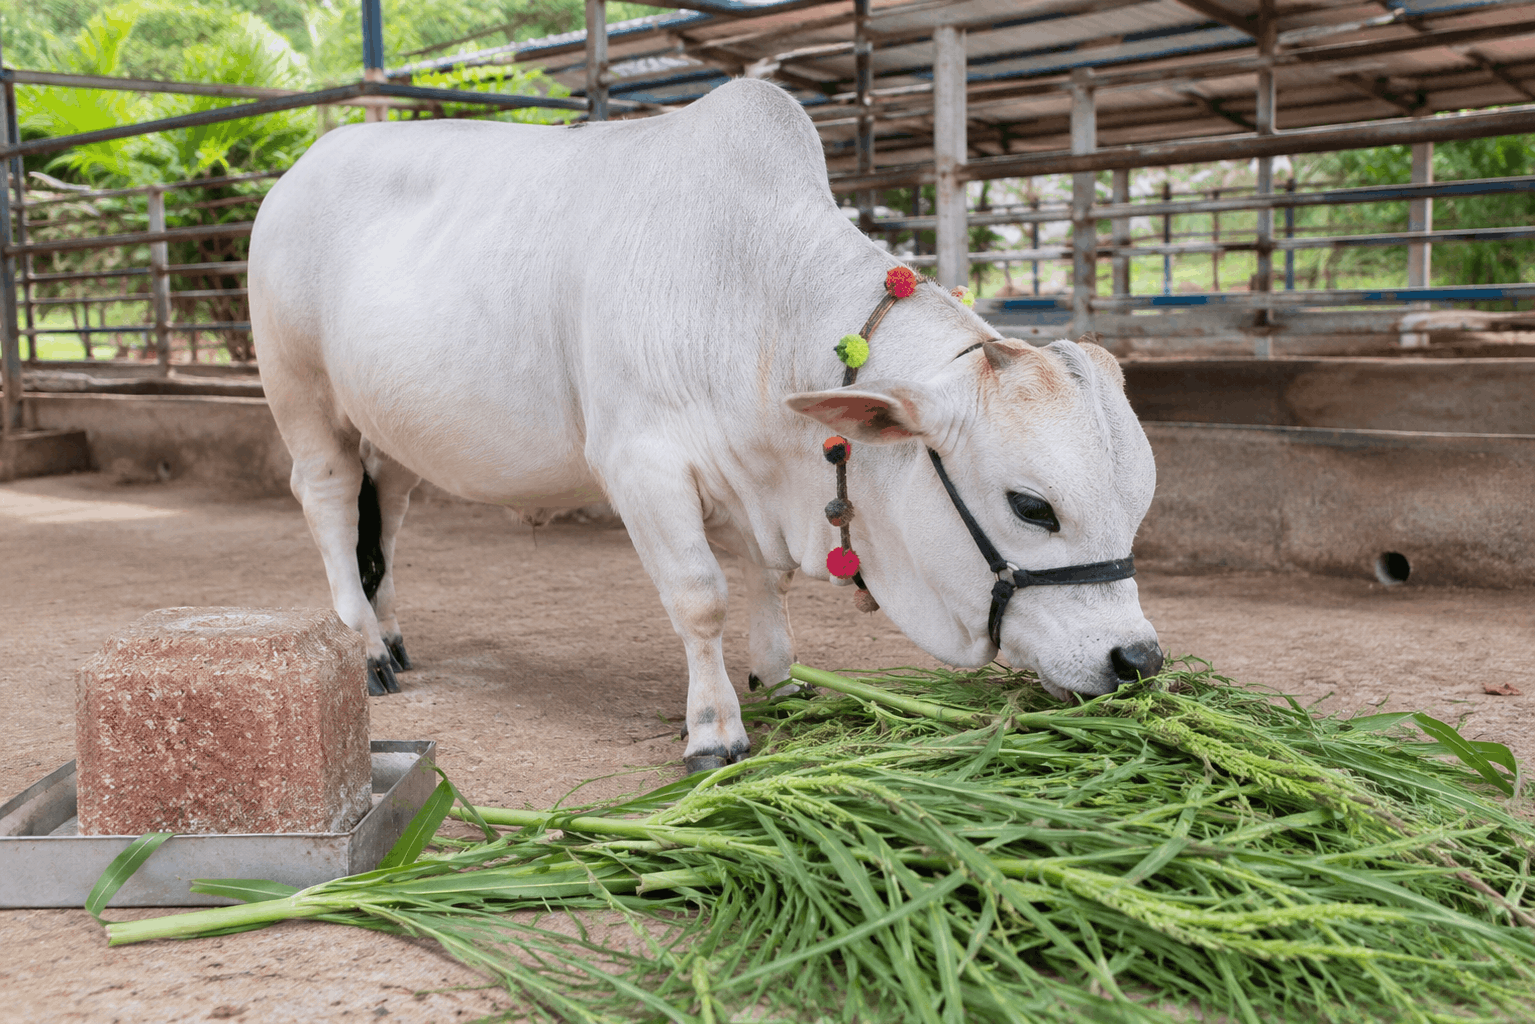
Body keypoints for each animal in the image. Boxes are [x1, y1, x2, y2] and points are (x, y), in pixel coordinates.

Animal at [249, 78, 1162, 774]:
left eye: (1138, 505)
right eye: (1031, 506)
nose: (1138, 661)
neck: (752, 290)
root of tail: (302, 167)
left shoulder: (753, 476)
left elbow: (767, 580)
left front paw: (779, 677)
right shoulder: (639, 464)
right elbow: (700, 597)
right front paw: (713, 728)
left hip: (393, 430)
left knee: (385, 513)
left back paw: (394, 632)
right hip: (301, 393)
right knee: (328, 499)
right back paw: (364, 646)